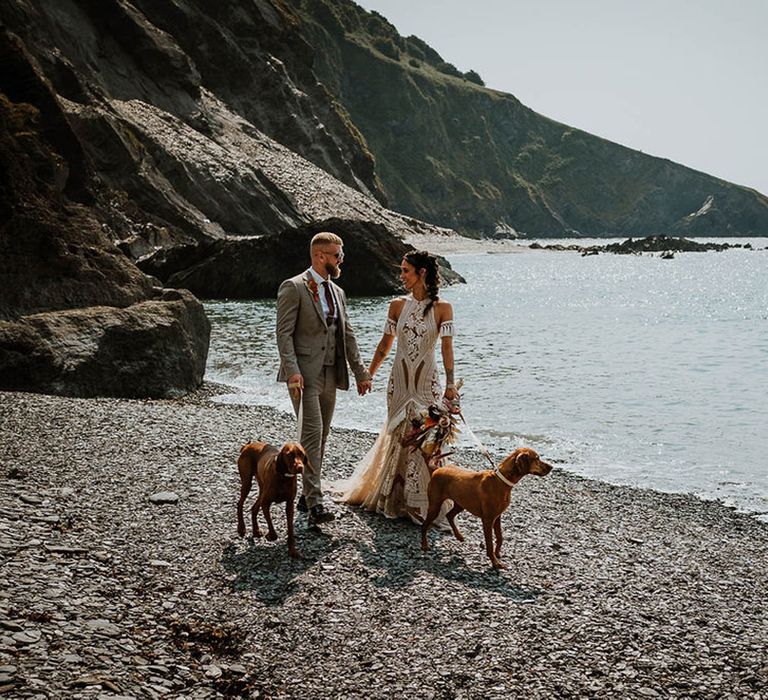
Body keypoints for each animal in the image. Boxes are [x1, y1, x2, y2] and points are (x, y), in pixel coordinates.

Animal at [420, 448, 552, 568]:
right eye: (537, 458)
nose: (551, 467)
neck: (501, 481)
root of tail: (437, 469)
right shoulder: (488, 519)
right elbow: (489, 543)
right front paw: (495, 562)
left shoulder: (497, 516)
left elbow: (500, 537)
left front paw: (497, 553)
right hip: (435, 505)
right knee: (425, 525)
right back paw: (425, 545)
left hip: (461, 503)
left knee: (449, 515)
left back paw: (459, 536)